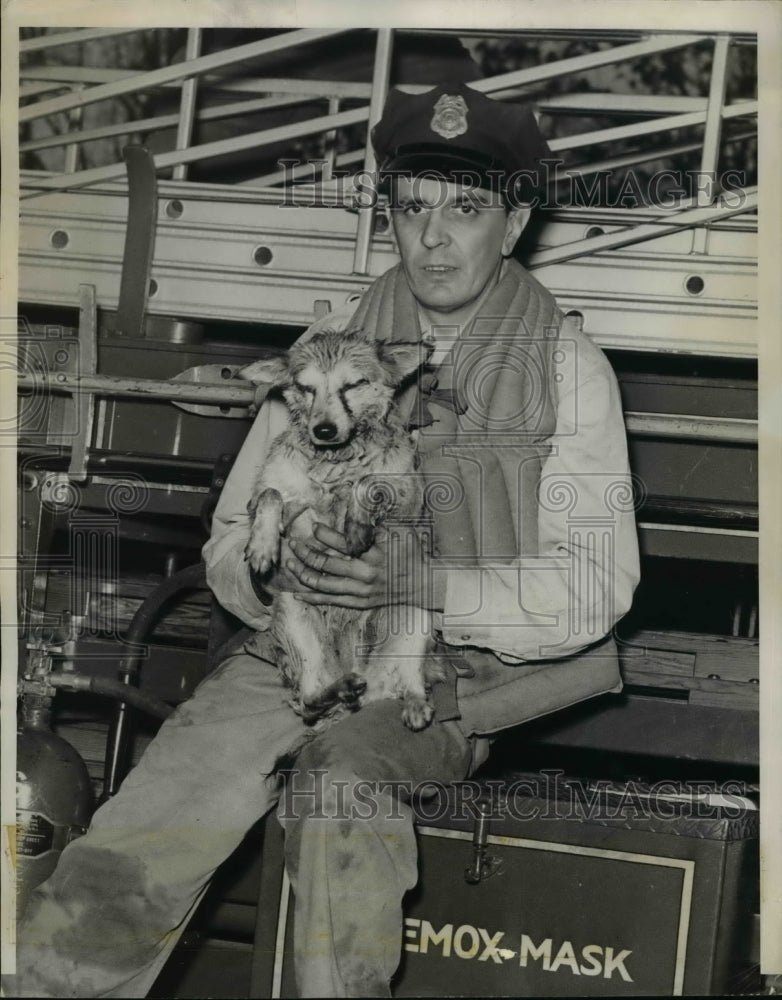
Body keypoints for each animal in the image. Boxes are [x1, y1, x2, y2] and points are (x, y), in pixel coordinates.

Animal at [242, 332, 444, 732]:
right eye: (306, 388)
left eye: (354, 385)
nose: (323, 429)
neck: (336, 461)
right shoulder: (266, 498)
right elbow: (272, 494)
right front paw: (262, 545)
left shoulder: (408, 500)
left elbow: (368, 482)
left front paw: (356, 522)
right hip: (293, 618)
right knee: (308, 700)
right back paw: (341, 689)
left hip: (417, 618)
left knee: (410, 680)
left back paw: (415, 705)